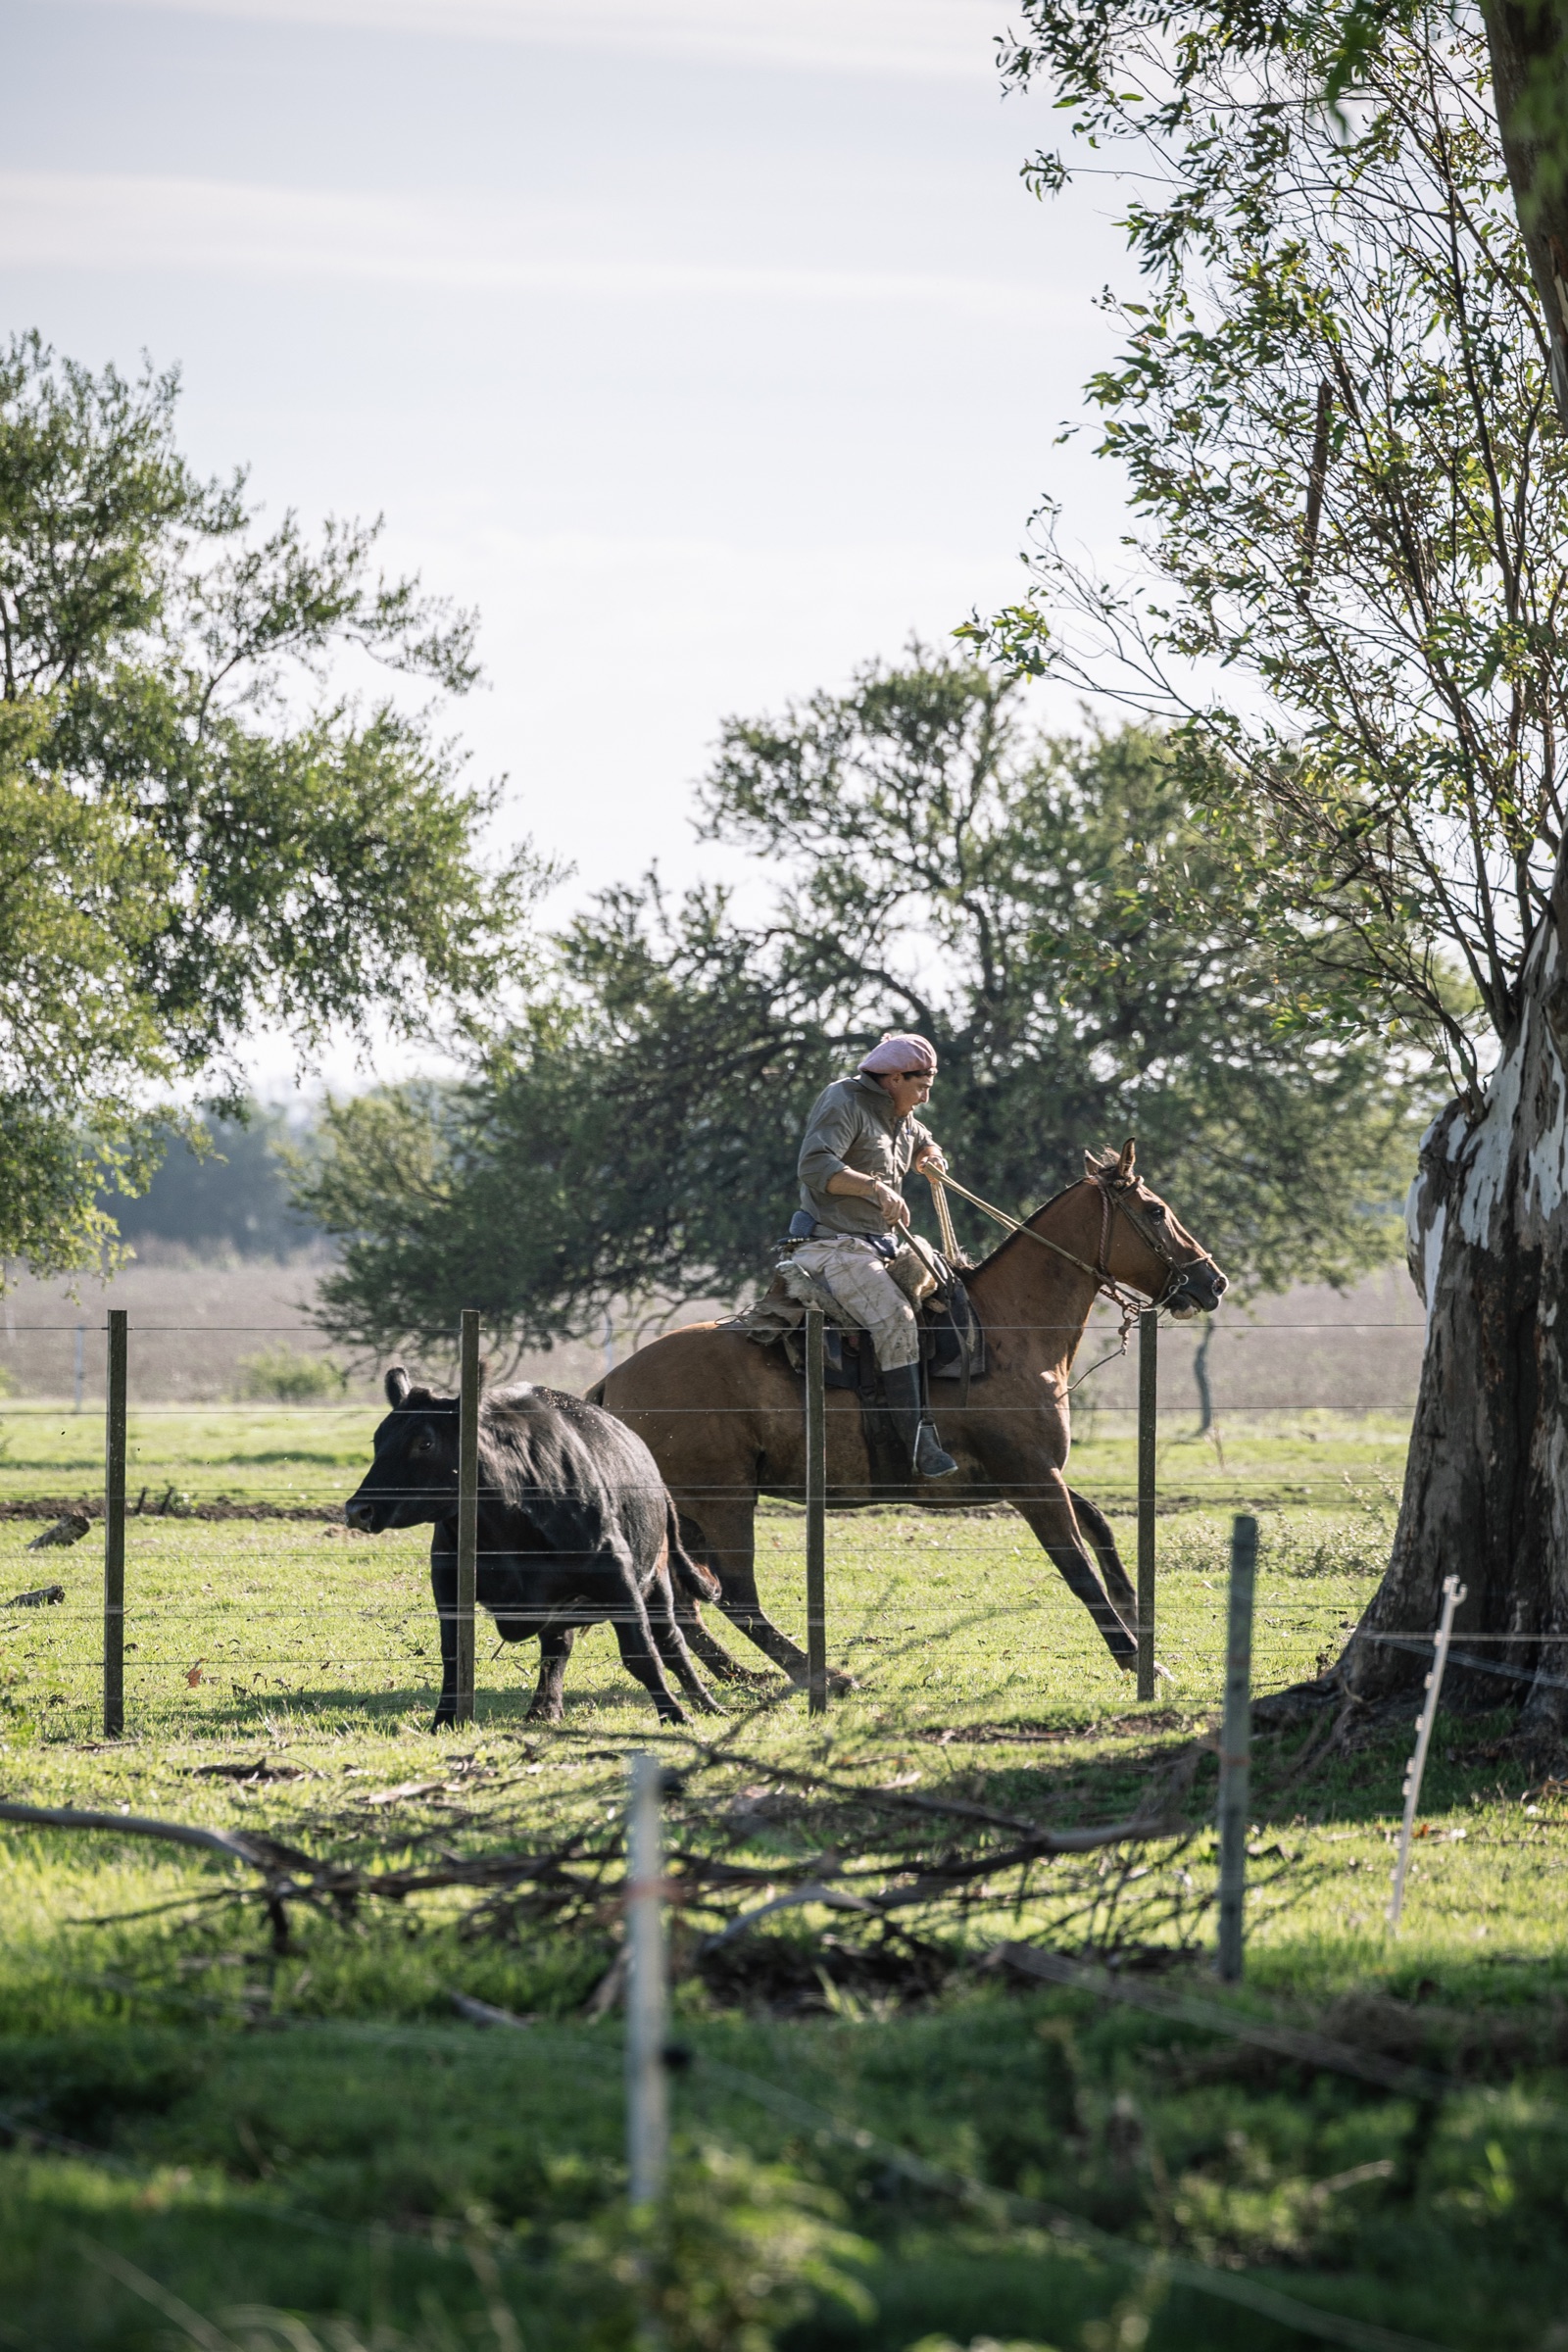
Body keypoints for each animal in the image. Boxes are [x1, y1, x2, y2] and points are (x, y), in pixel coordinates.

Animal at [589, 1143, 1226, 1682]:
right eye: (1155, 1210)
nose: (1212, 1280)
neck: (1005, 1332)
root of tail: (612, 1383)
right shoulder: (1031, 1479)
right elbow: (1077, 1567)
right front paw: (1134, 1656)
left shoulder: (1034, 1474)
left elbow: (1100, 1530)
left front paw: (1142, 1632)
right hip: (722, 1502)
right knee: (737, 1594)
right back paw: (818, 1674)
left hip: (686, 1515)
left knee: (685, 1601)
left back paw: (740, 1674)